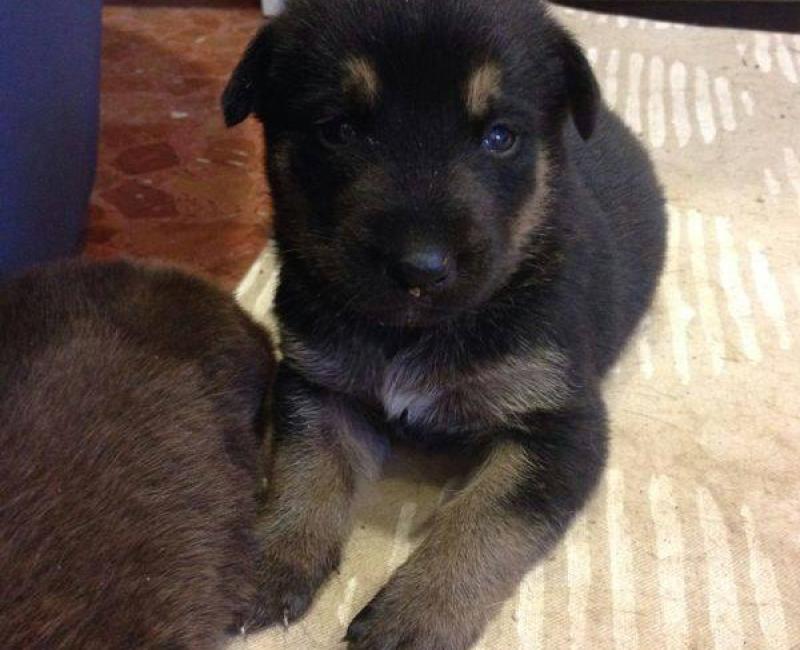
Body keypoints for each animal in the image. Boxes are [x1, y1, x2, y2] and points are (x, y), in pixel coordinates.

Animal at [223, 0, 666, 647]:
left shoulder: (561, 426)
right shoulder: (317, 383)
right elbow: (307, 472)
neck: (413, 332)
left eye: (500, 137)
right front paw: (272, 556)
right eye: (338, 130)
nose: (421, 269)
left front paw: (416, 614)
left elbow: (484, 522)